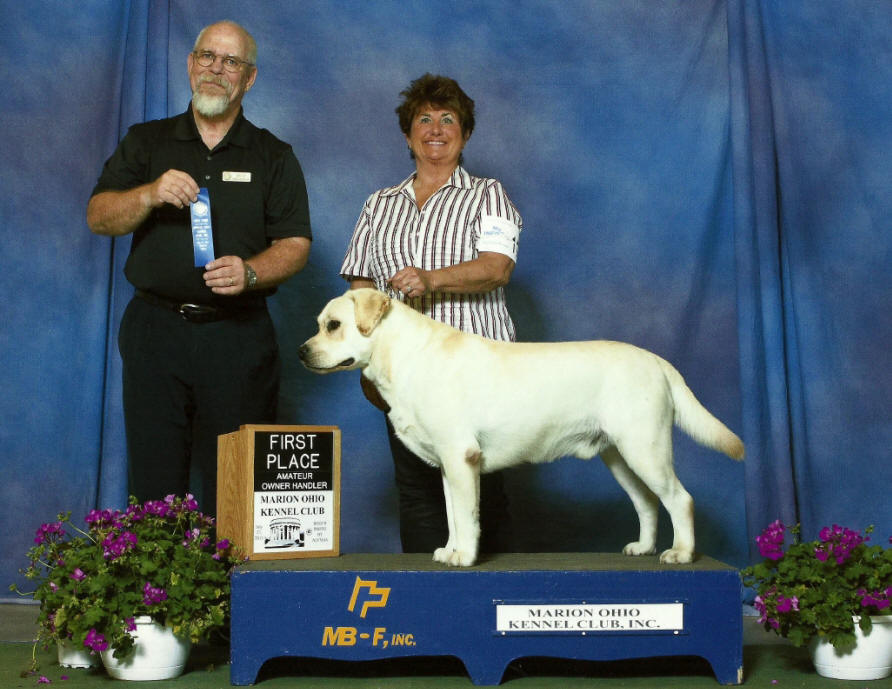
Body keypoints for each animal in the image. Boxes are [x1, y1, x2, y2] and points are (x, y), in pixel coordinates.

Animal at [299, 288, 744, 567]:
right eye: (319, 323)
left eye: (333, 325)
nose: (302, 351)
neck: (402, 356)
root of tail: (657, 361)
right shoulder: (447, 466)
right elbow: (452, 516)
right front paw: (448, 550)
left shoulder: (461, 457)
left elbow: (467, 517)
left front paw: (465, 556)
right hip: (619, 456)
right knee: (648, 503)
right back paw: (644, 548)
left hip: (644, 448)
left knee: (680, 500)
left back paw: (680, 553)